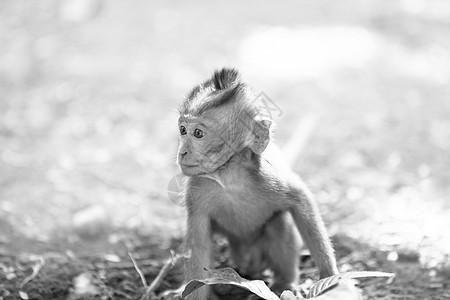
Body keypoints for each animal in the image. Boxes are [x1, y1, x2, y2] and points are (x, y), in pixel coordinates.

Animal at [176, 68, 338, 300]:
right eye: (182, 130)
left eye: (198, 133)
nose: (182, 152)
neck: (229, 177)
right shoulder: (197, 190)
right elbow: (198, 243)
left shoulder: (270, 178)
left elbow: (302, 200)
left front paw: (332, 279)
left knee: (278, 222)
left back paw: (284, 282)